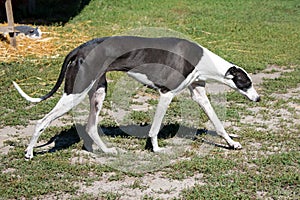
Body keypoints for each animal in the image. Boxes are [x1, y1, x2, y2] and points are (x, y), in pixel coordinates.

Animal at [12, 35, 258, 159]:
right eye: (247, 83)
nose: (257, 99)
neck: (203, 61)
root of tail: (79, 49)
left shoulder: (199, 94)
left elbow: (217, 123)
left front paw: (232, 143)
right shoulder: (166, 94)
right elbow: (155, 128)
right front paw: (155, 149)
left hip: (98, 91)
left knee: (91, 126)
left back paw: (106, 150)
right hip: (75, 93)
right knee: (42, 121)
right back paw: (29, 152)